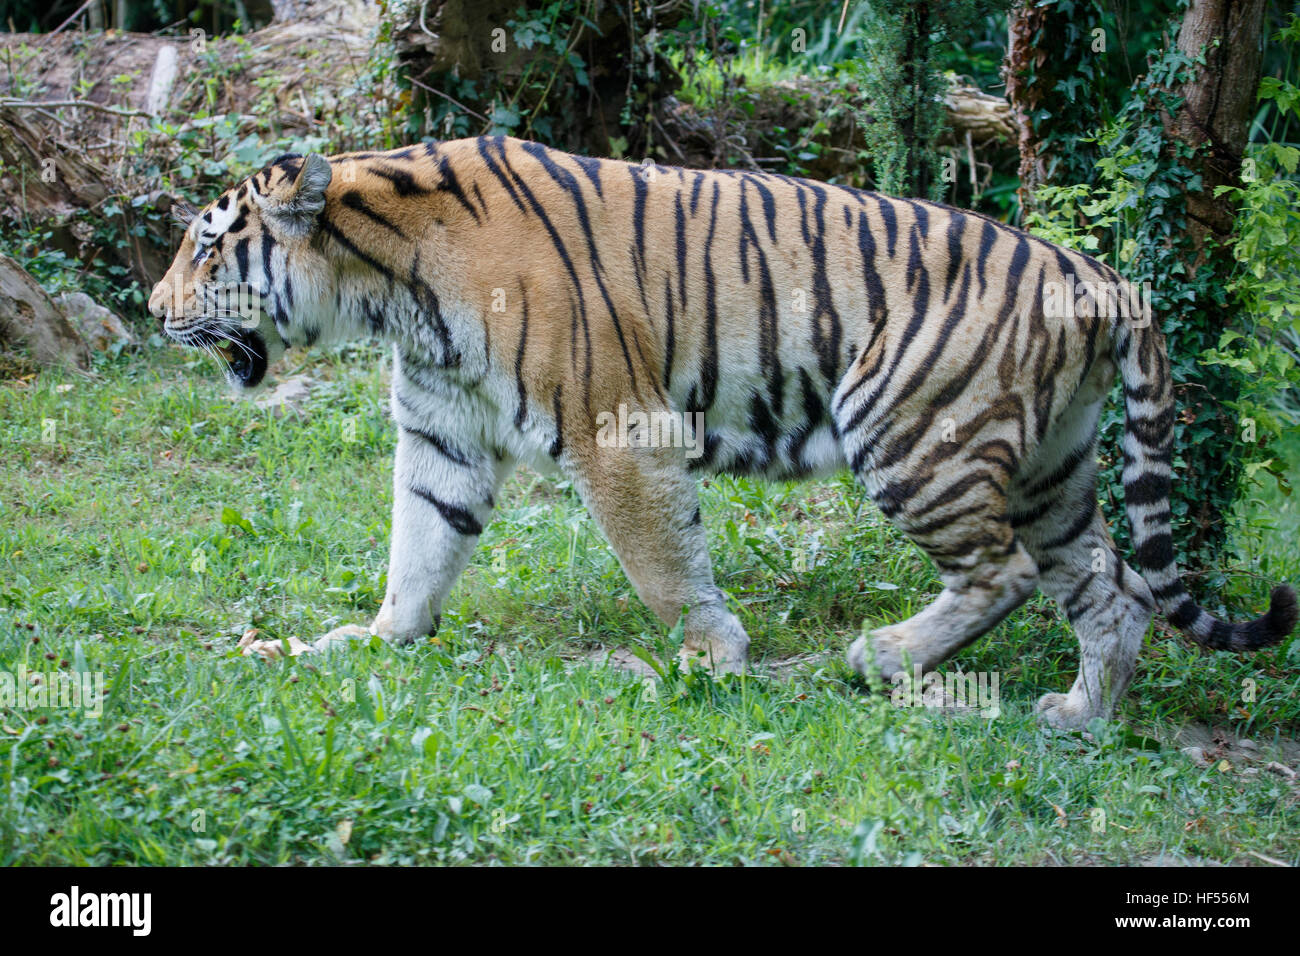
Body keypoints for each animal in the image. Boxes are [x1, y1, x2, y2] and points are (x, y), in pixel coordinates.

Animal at [149, 134, 1289, 728]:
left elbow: (662, 562)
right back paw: (1078, 713)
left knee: (1001, 572)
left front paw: (708, 658)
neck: (385, 285)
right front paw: (365, 641)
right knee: (1113, 587)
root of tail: (1098, 275)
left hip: (909, 428)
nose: (155, 307)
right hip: (1054, 472)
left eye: (207, 245)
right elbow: (419, 548)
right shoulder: (444, 435)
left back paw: (876, 658)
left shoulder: (615, 425)